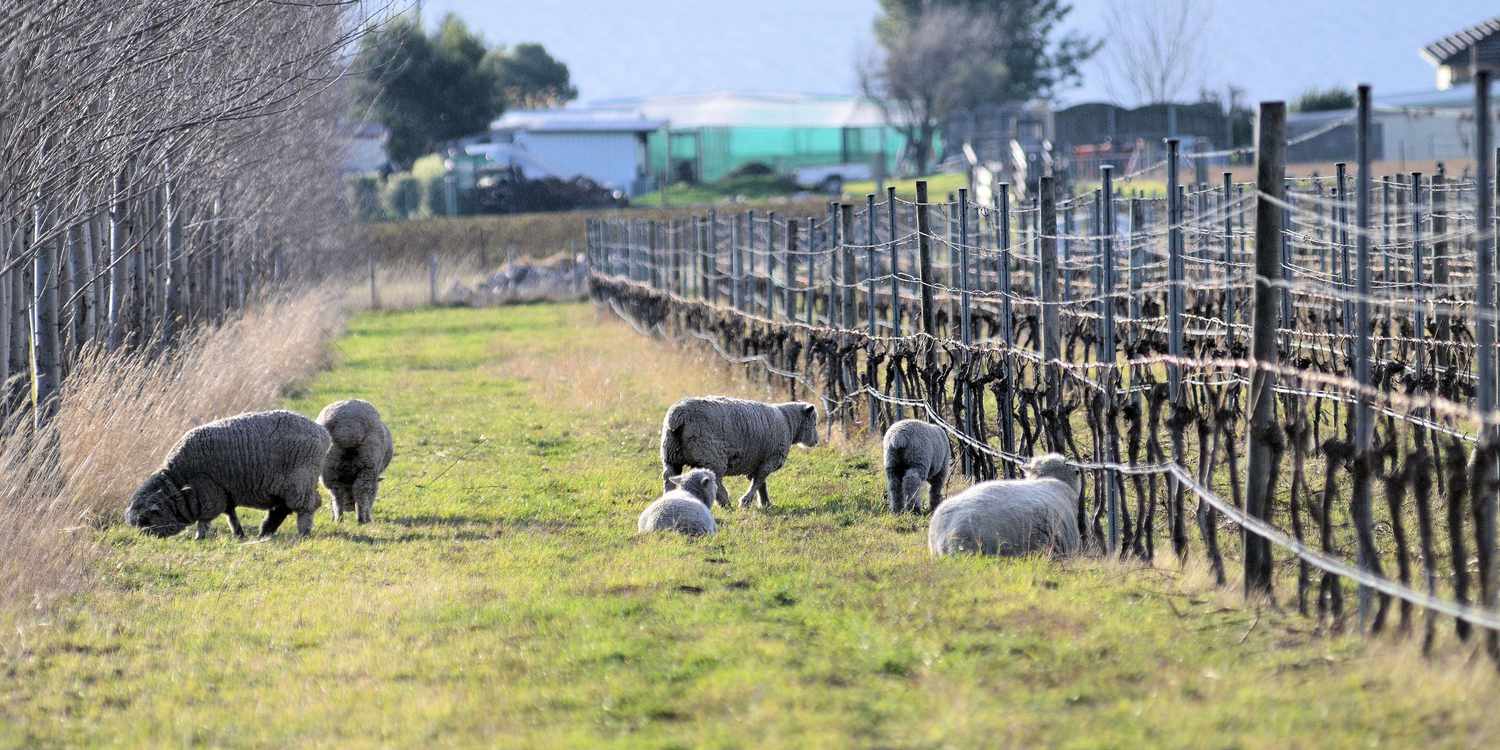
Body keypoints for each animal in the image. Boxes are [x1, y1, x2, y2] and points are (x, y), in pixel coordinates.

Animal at [126, 411, 331, 540]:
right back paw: (266, 530)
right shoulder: (225, 493)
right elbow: (231, 515)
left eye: (146, 520)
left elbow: (205, 519)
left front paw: (200, 537)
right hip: (293, 484)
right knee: (283, 508)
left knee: (307, 506)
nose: (147, 538)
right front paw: (238, 534)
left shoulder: (210, 493)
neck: (178, 483)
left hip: (301, 480)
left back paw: (302, 532)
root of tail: (322, 433)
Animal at [660, 396, 822, 507]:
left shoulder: (758, 461)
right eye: (814, 422)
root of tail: (679, 414)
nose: (816, 441)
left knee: (669, 477)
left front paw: (766, 503)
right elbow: (759, 481)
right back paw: (725, 503)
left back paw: (669, 499)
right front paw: (746, 501)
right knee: (716, 480)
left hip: (671, 455)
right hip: (711, 457)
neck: (788, 423)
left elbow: (761, 484)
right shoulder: (770, 460)